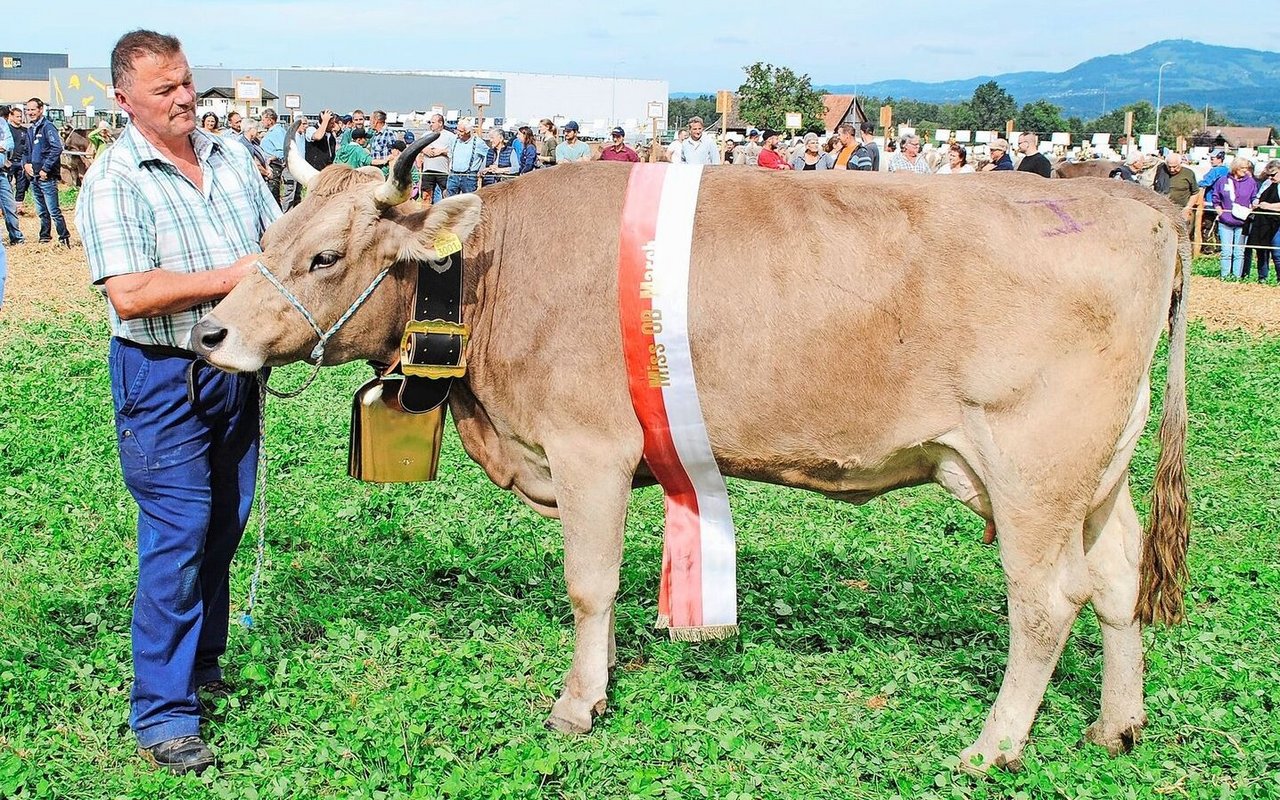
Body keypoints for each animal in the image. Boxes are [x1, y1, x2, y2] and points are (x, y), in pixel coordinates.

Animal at [189, 132, 1187, 773]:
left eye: (325, 257)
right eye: (267, 236)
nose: (209, 333)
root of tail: (1136, 203)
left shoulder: (590, 447)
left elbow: (589, 585)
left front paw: (578, 703)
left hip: (1032, 467)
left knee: (1046, 601)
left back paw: (992, 747)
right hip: (1094, 473)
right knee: (1116, 577)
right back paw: (1117, 726)